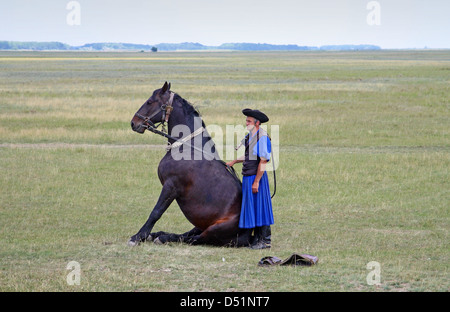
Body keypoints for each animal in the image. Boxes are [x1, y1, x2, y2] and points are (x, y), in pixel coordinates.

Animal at [127, 81, 253, 247]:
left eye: (150, 102)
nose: (134, 123)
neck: (187, 147)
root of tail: (249, 233)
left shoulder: (171, 186)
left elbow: (156, 212)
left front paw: (137, 237)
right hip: (201, 224)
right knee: (189, 234)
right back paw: (159, 234)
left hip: (215, 229)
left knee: (195, 239)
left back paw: (163, 237)